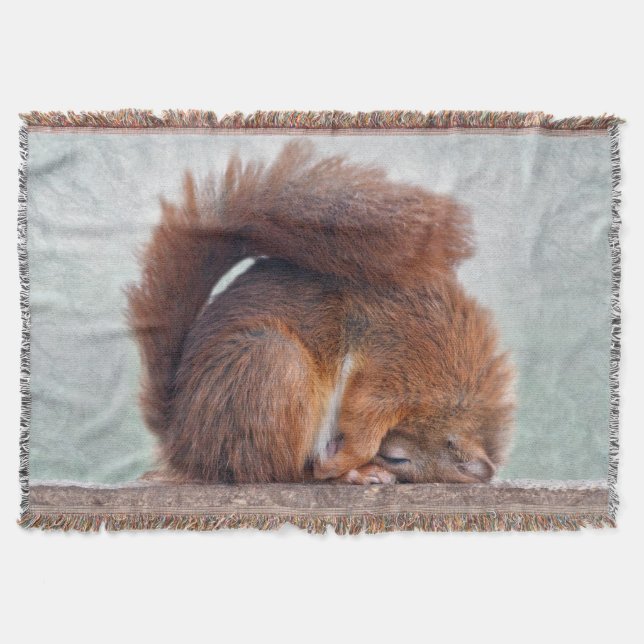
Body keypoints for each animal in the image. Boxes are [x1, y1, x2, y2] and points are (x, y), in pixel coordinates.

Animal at [127, 141, 514, 484]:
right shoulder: (395, 366)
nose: (384, 462)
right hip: (272, 365)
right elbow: (364, 417)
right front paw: (345, 460)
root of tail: (184, 445)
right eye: (397, 458)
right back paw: (346, 473)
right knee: (281, 474)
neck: (452, 392)